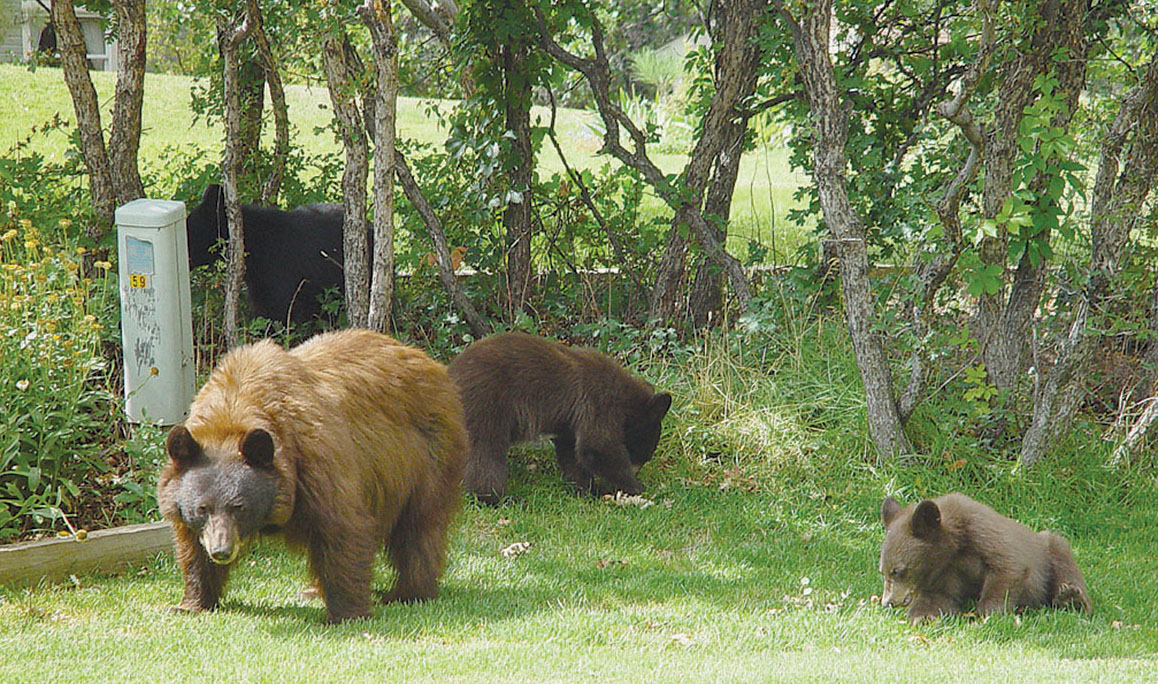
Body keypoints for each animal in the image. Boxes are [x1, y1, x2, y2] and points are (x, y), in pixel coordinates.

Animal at [157, 328, 467, 623]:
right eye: (202, 508)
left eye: (239, 507)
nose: (221, 550)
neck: (236, 409)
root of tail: (428, 361)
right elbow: (192, 548)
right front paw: (190, 603)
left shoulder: (316, 460)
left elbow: (341, 527)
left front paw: (347, 613)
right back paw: (314, 591)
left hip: (429, 456)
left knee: (419, 527)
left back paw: (409, 592)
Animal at [447, 331, 672, 505]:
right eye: (644, 454)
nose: (637, 472)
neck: (625, 399)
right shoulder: (599, 402)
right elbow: (598, 446)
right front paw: (637, 487)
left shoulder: (571, 422)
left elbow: (572, 452)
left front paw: (587, 489)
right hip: (487, 402)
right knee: (486, 450)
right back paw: (495, 498)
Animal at [879, 492, 1093, 622]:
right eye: (882, 572)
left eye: (898, 571)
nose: (887, 602)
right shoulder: (944, 572)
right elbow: (938, 596)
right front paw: (922, 616)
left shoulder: (982, 530)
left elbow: (1008, 567)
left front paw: (988, 614)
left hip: (1048, 549)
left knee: (1063, 559)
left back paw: (1071, 598)